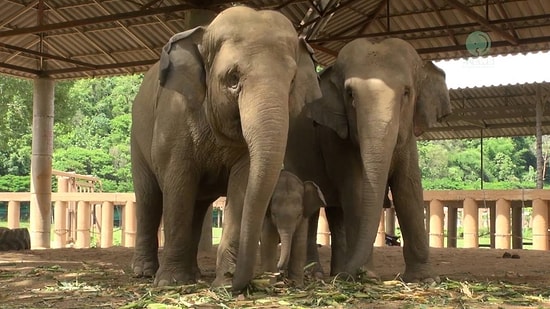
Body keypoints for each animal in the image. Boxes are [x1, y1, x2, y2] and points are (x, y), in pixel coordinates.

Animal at [131, 6, 322, 292]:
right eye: (233, 79)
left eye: (291, 82)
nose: (239, 283)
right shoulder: (174, 117)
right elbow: (177, 185)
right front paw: (169, 283)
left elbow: (242, 185)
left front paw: (223, 283)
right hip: (137, 139)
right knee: (149, 198)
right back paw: (145, 273)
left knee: (197, 208)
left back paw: (195, 274)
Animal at [286, 36, 450, 282]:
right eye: (350, 94)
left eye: (406, 92)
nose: (351, 273)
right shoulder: (336, 138)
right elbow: (358, 191)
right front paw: (367, 276)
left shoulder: (407, 142)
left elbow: (409, 190)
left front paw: (425, 279)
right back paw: (318, 274)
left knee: (336, 212)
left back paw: (336, 272)